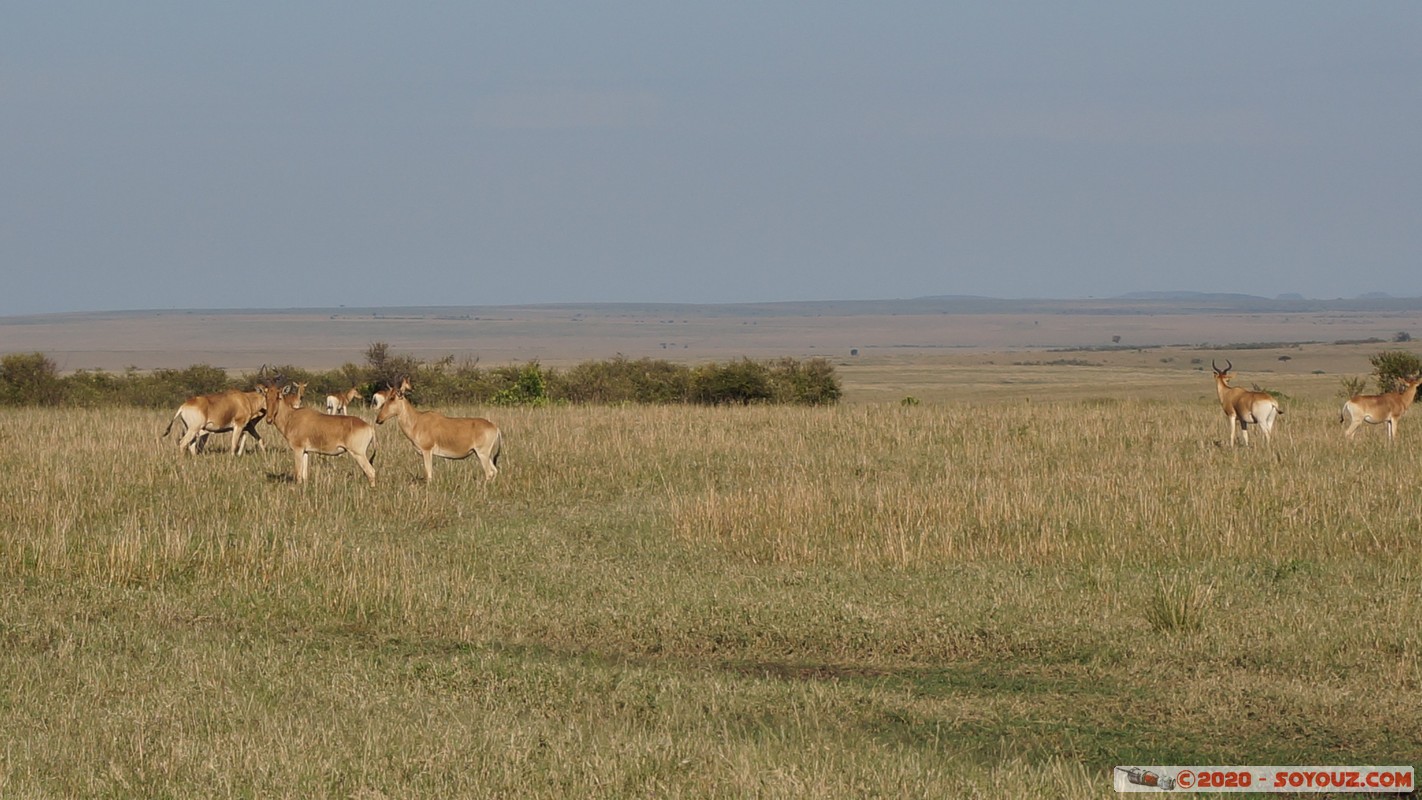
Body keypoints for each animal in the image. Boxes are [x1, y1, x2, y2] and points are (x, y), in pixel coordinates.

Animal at [375, 380, 503, 483]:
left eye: (392, 398)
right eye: (387, 397)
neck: (417, 420)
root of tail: (495, 427)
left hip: (482, 454)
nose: (378, 419)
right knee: (495, 471)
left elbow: (428, 475)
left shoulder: (427, 451)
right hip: (481, 454)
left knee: (489, 473)